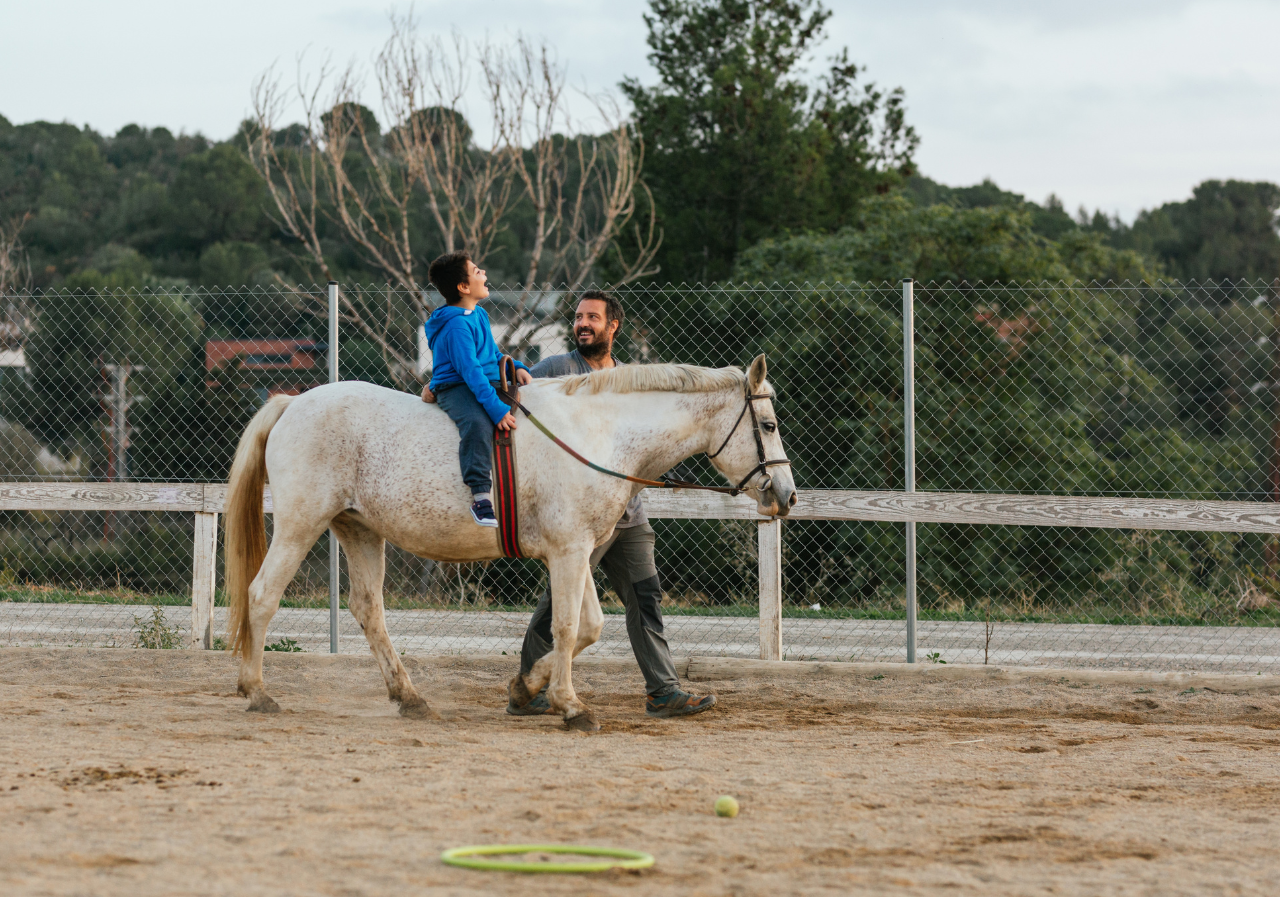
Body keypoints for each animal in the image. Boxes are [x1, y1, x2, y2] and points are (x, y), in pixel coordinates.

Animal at [224, 354, 796, 731]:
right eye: (767, 424)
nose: (787, 495)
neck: (598, 434)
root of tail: (292, 403)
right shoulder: (569, 552)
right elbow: (566, 627)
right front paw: (571, 706)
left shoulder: (578, 551)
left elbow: (589, 625)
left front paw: (527, 687)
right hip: (300, 525)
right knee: (261, 596)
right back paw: (256, 691)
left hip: (359, 530)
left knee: (369, 610)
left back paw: (409, 698)